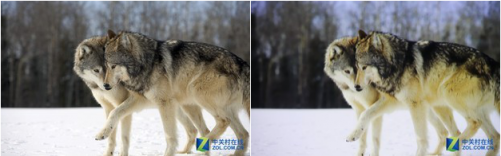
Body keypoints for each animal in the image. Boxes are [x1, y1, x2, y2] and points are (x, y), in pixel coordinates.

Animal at [72, 36, 209, 155]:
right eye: (96, 70)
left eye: (112, 67)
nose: (106, 86)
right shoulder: (108, 107)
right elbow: (111, 136)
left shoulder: (129, 103)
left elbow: (122, 134)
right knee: (193, 130)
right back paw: (184, 152)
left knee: (199, 130)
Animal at [96, 29, 249, 155]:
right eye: (106, 66)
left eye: (113, 66)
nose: (105, 85)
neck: (147, 63)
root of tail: (242, 64)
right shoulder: (141, 99)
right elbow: (114, 112)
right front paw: (102, 133)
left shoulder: (165, 103)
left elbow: (169, 136)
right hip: (193, 105)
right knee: (243, 133)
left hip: (196, 92)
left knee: (223, 122)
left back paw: (203, 145)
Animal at [324, 36, 460, 155]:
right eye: (347, 71)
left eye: (362, 68)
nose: (357, 87)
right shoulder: (358, 108)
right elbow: (362, 136)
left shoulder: (381, 104)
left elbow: (372, 134)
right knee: (443, 132)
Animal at [354, 29, 498, 155]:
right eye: (357, 67)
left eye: (364, 67)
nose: (356, 87)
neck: (399, 64)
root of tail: (492, 64)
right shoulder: (394, 101)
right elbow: (365, 114)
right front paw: (353, 135)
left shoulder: (415, 105)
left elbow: (420, 137)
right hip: (443, 106)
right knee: (494, 136)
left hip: (447, 94)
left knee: (473, 124)